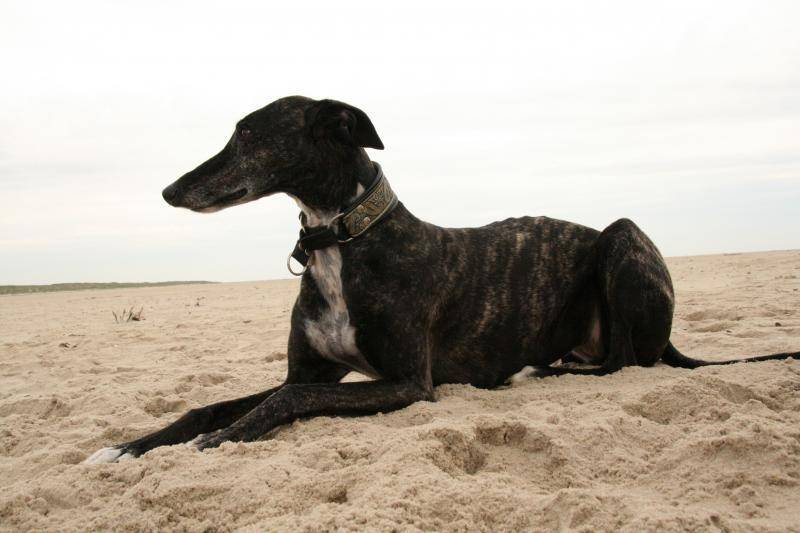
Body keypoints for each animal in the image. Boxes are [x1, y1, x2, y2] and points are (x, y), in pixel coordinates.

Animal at [85, 95, 800, 463]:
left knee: (625, 362)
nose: (168, 191)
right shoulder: (312, 368)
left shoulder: (409, 382)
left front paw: (219, 439)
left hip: (622, 236)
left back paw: (540, 371)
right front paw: (124, 448)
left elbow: (284, 403)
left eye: (247, 134)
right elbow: (223, 401)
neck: (346, 240)